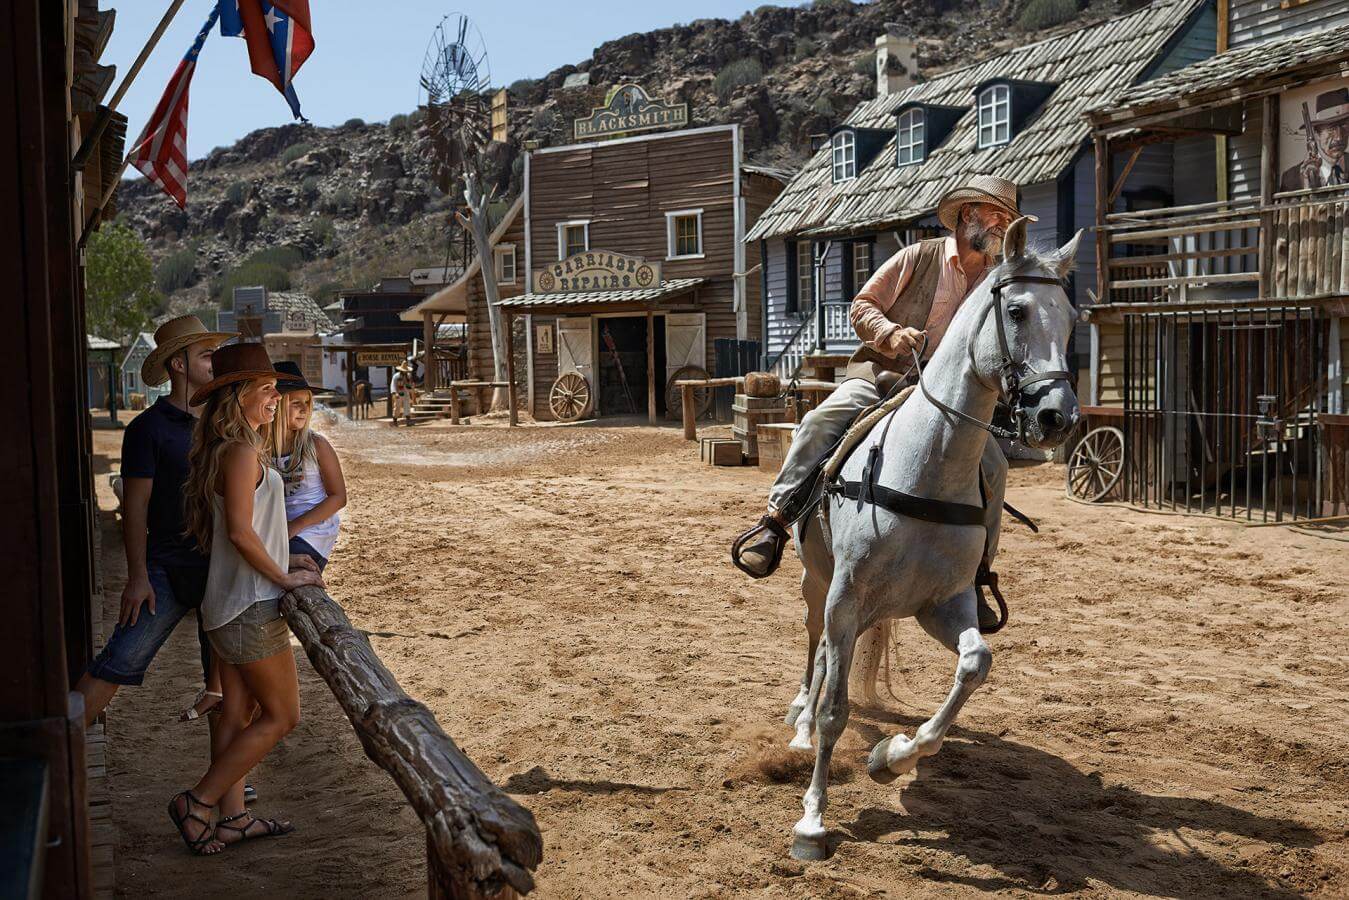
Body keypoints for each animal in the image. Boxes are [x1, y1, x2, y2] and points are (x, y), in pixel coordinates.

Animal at [782, 218, 1084, 858]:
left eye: (1072, 317)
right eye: (1016, 310)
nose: (1058, 417)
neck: (927, 466)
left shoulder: (944, 604)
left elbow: (975, 662)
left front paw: (892, 757)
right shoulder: (846, 597)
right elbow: (835, 711)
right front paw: (812, 820)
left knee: (828, 654)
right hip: (817, 582)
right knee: (814, 645)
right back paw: (798, 719)